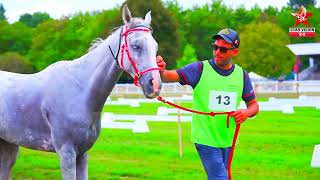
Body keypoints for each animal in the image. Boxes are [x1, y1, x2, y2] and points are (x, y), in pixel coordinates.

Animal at [0, 5, 161, 180]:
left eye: (155, 46)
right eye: (136, 46)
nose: (155, 84)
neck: (80, 90)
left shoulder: (82, 153)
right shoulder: (67, 153)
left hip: (8, 145)